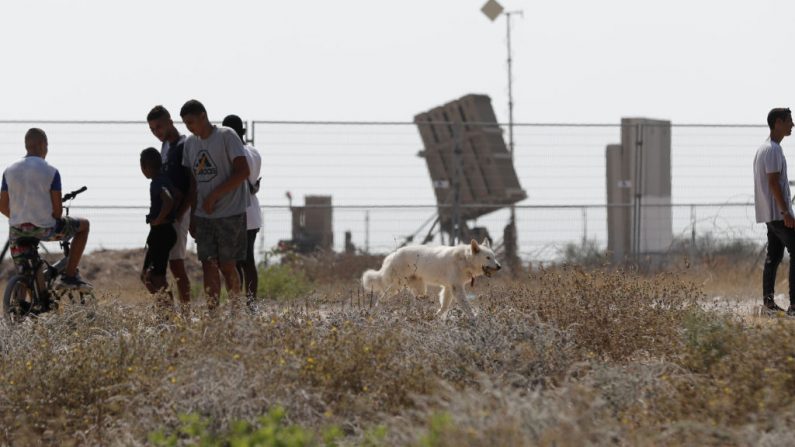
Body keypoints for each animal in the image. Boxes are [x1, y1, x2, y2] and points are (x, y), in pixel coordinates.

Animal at [362, 240, 500, 320]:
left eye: (494, 257)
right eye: (488, 258)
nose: (499, 267)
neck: (465, 259)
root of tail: (390, 256)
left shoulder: (449, 288)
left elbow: (444, 306)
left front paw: (436, 316)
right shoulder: (456, 288)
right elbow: (466, 306)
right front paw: (474, 318)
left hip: (420, 289)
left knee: (418, 301)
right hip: (397, 286)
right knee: (381, 298)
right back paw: (376, 311)